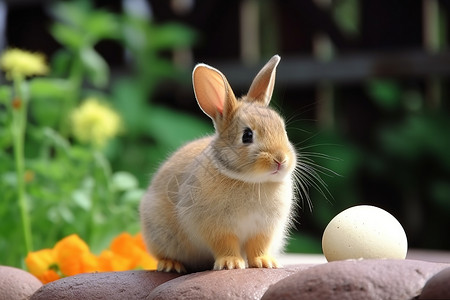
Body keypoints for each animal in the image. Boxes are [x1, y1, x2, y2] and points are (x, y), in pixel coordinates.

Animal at [139, 55, 298, 274]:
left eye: (283, 129)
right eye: (247, 136)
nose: (280, 160)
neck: (251, 181)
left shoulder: (263, 229)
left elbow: (258, 246)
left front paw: (265, 262)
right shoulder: (217, 227)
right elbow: (225, 244)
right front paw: (231, 263)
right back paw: (170, 265)